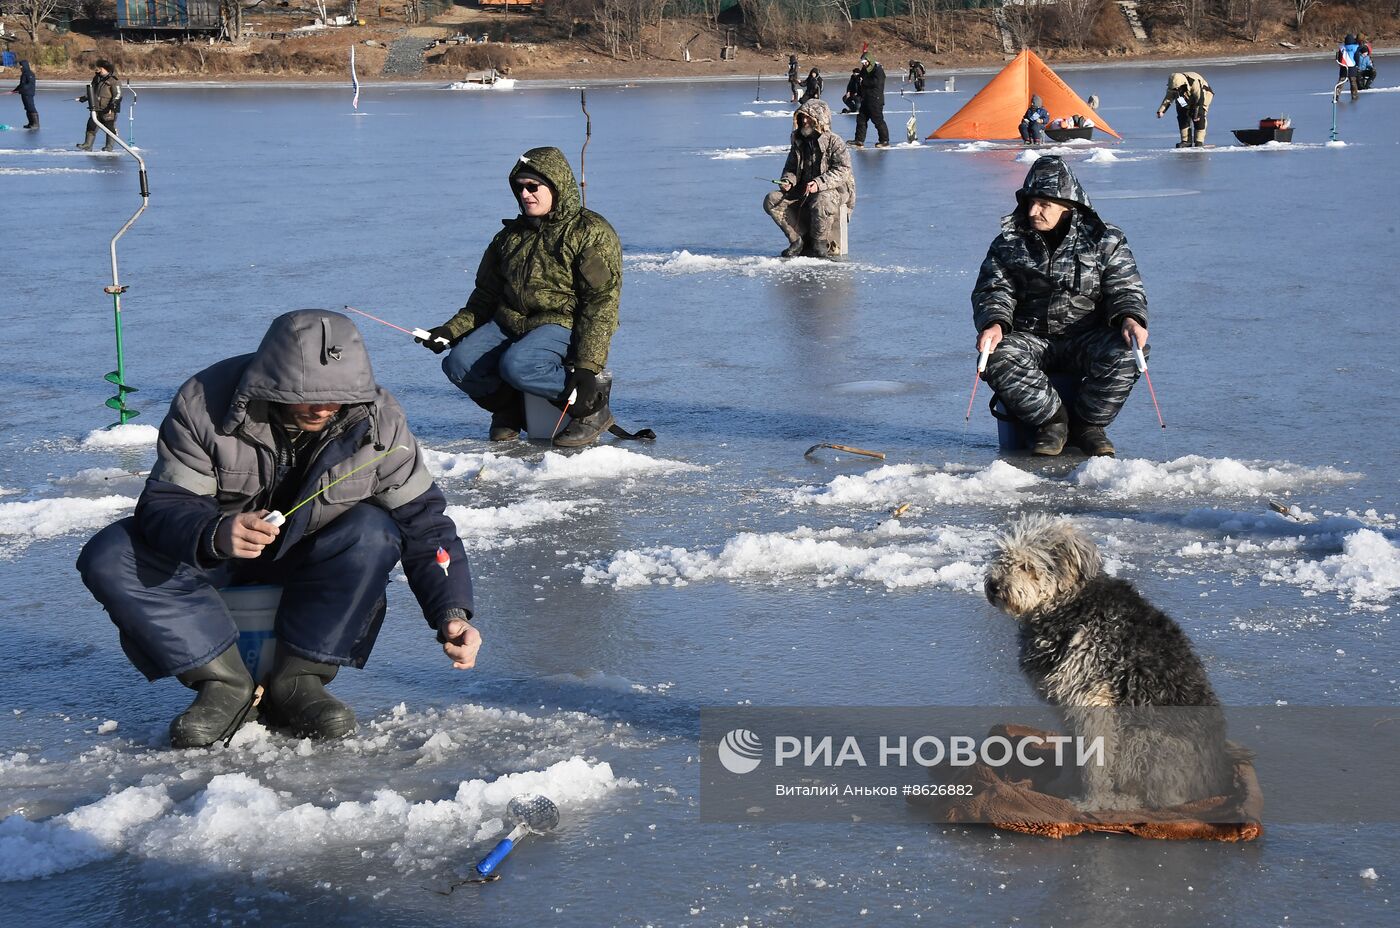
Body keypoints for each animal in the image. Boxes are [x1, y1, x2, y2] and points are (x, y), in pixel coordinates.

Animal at [980, 515, 1232, 811]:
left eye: (1027, 565)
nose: (994, 585)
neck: (1071, 606)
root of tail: (1216, 780)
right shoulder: (1069, 706)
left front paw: (1091, 801)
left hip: (1143, 740)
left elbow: (1095, 762)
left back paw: (1122, 801)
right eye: (1001, 557)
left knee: (1165, 799)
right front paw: (1064, 785)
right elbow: (1072, 750)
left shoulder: (1093, 702)